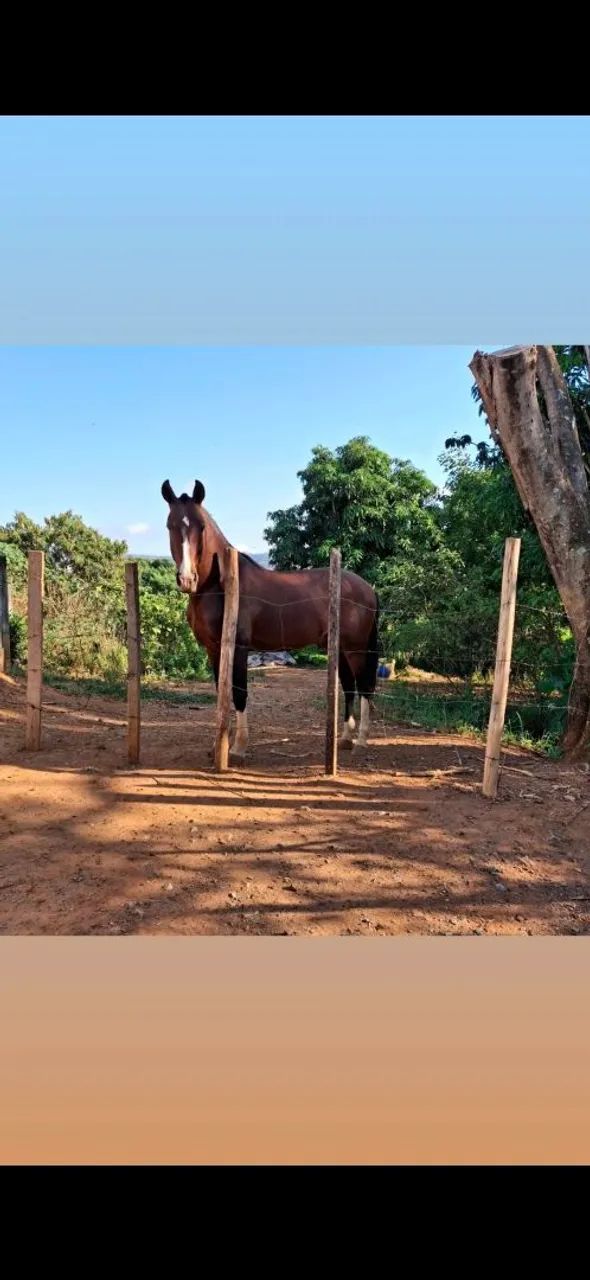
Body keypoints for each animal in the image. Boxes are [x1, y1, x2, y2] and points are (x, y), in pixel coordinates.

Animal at [162, 479, 380, 764]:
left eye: (201, 526)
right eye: (170, 525)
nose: (187, 579)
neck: (221, 585)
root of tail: (367, 588)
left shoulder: (239, 649)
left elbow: (239, 693)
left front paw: (237, 748)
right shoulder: (213, 650)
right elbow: (222, 692)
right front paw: (217, 747)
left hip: (356, 649)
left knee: (364, 686)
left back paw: (361, 742)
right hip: (340, 649)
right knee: (349, 686)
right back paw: (344, 739)